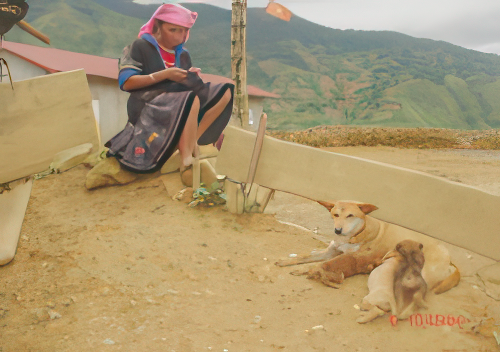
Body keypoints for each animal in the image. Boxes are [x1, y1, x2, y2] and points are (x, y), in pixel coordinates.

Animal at [278, 201, 460, 294]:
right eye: (335, 214)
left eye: (350, 215)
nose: (337, 230)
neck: (356, 234)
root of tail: (450, 260)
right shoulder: (331, 251)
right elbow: (305, 256)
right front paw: (286, 261)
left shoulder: (346, 255)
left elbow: (316, 264)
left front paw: (304, 269)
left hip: (422, 273)